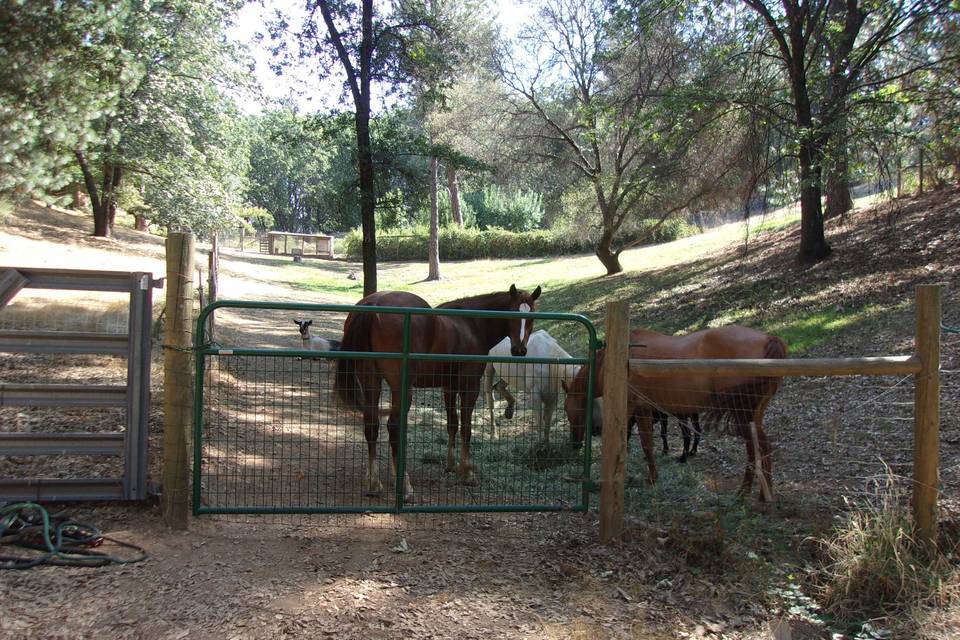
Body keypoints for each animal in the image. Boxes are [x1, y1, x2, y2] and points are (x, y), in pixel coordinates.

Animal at [336, 284, 540, 500]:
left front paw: (451, 465)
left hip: (371, 382)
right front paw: (467, 473)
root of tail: (372, 304)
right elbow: (466, 428)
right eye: (513, 313)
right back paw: (405, 486)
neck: (472, 324)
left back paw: (374, 483)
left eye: (532, 317)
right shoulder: (470, 386)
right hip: (401, 388)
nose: (519, 350)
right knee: (394, 427)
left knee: (372, 425)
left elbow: (452, 424)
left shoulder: (449, 387)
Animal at [564, 328, 788, 502]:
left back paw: (744, 493)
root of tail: (769, 338)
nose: (573, 444)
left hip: (742, 416)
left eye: (567, 409)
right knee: (764, 447)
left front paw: (647, 478)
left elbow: (639, 443)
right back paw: (764, 495)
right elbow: (639, 443)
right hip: (753, 416)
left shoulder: (637, 410)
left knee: (754, 450)